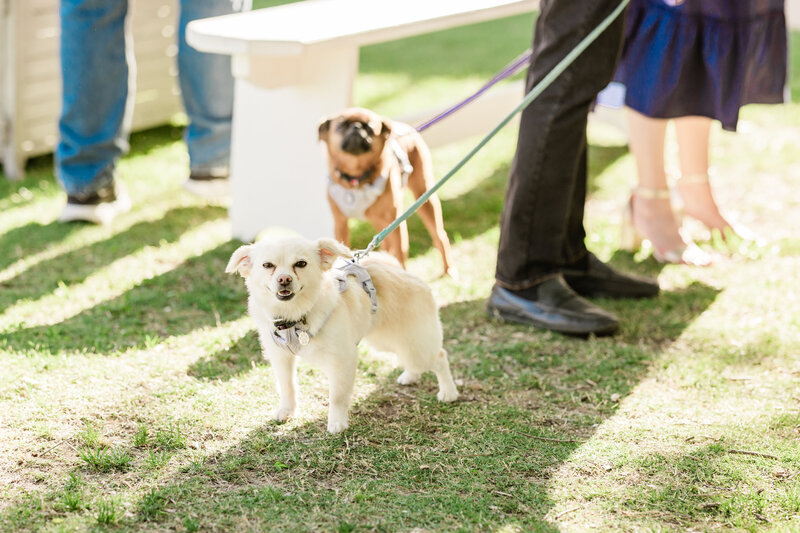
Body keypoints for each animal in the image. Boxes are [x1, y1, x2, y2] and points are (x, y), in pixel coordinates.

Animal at [228, 236, 460, 432]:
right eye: (268, 265)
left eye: (301, 264)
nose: (284, 279)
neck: (295, 316)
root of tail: (404, 273)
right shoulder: (280, 357)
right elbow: (287, 386)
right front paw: (287, 411)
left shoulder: (342, 359)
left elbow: (337, 396)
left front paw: (337, 423)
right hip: (388, 341)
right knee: (408, 357)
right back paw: (410, 376)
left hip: (415, 346)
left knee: (440, 357)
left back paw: (448, 392)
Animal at [320, 107, 456, 274]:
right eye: (341, 126)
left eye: (370, 127)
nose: (356, 127)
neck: (356, 179)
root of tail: (406, 127)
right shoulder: (341, 223)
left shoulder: (394, 222)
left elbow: (400, 252)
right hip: (379, 219)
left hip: (424, 200)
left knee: (439, 236)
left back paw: (448, 269)